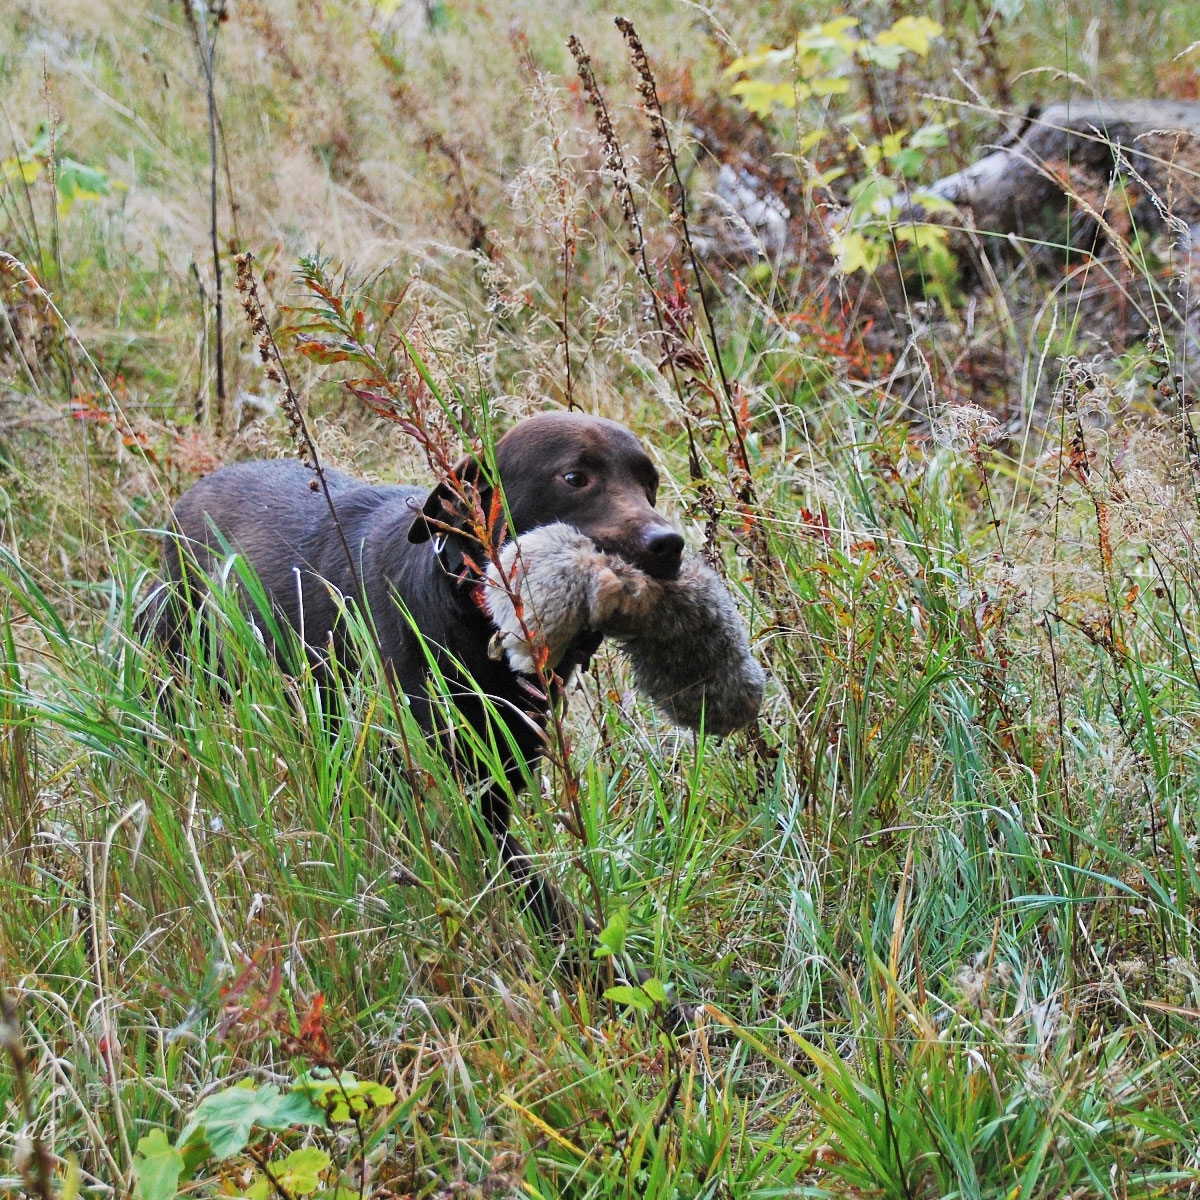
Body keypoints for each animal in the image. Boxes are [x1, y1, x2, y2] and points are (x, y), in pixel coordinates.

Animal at [147, 417, 686, 931]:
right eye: (575, 478)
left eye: (650, 485)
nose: (670, 544)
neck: (471, 613)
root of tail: (189, 496)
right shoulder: (450, 794)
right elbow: (534, 891)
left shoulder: (497, 780)